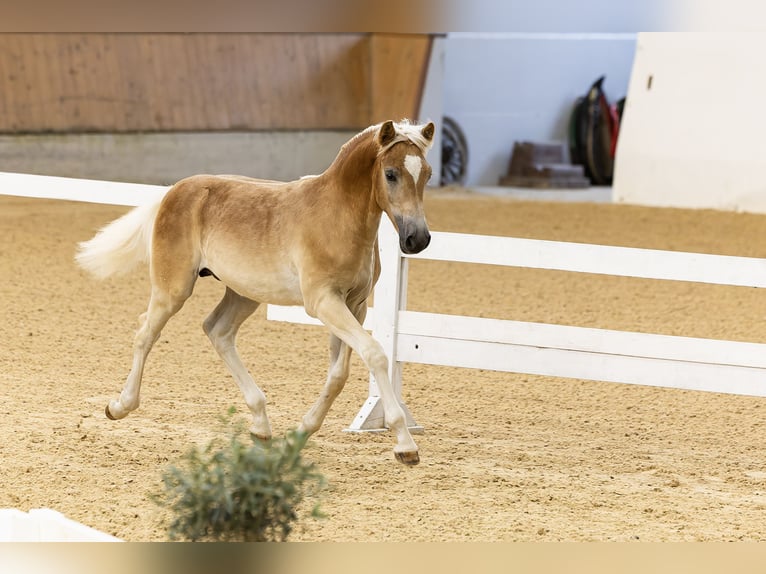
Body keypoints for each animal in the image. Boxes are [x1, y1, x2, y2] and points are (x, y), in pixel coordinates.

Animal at [79, 121, 438, 468]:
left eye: (428, 173)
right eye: (390, 173)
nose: (417, 239)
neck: (336, 217)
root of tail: (175, 190)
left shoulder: (355, 305)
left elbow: (338, 374)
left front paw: (300, 433)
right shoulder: (323, 301)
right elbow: (375, 354)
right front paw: (405, 445)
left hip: (243, 293)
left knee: (217, 330)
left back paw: (261, 426)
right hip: (174, 288)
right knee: (145, 333)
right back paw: (118, 406)